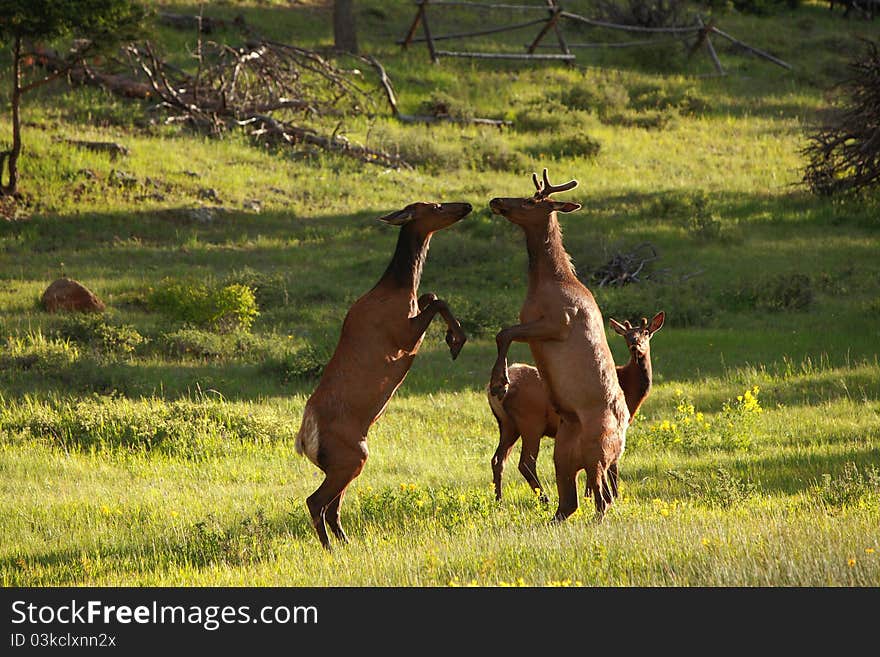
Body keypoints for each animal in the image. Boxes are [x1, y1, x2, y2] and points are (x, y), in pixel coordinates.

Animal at [294, 201, 474, 548]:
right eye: (435, 206)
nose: (466, 206)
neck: (399, 289)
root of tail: (305, 442)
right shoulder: (401, 337)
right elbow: (438, 300)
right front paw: (456, 340)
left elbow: (432, 295)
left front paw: (453, 336)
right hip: (350, 456)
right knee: (315, 501)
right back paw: (330, 548)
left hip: (347, 462)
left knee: (332, 505)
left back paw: (345, 543)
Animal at [484, 310, 664, 500]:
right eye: (627, 335)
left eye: (646, 332)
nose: (635, 345)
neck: (630, 388)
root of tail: (489, 391)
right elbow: (612, 463)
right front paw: (613, 495)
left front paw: (589, 495)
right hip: (530, 420)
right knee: (526, 462)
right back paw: (545, 499)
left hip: (508, 424)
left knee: (498, 459)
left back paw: (499, 500)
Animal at [488, 170, 632, 524]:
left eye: (530, 201)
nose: (496, 200)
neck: (547, 282)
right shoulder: (533, 325)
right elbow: (503, 332)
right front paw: (499, 381)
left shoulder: (558, 322)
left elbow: (504, 332)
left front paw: (500, 383)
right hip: (562, 454)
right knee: (570, 502)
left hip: (598, 447)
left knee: (602, 497)